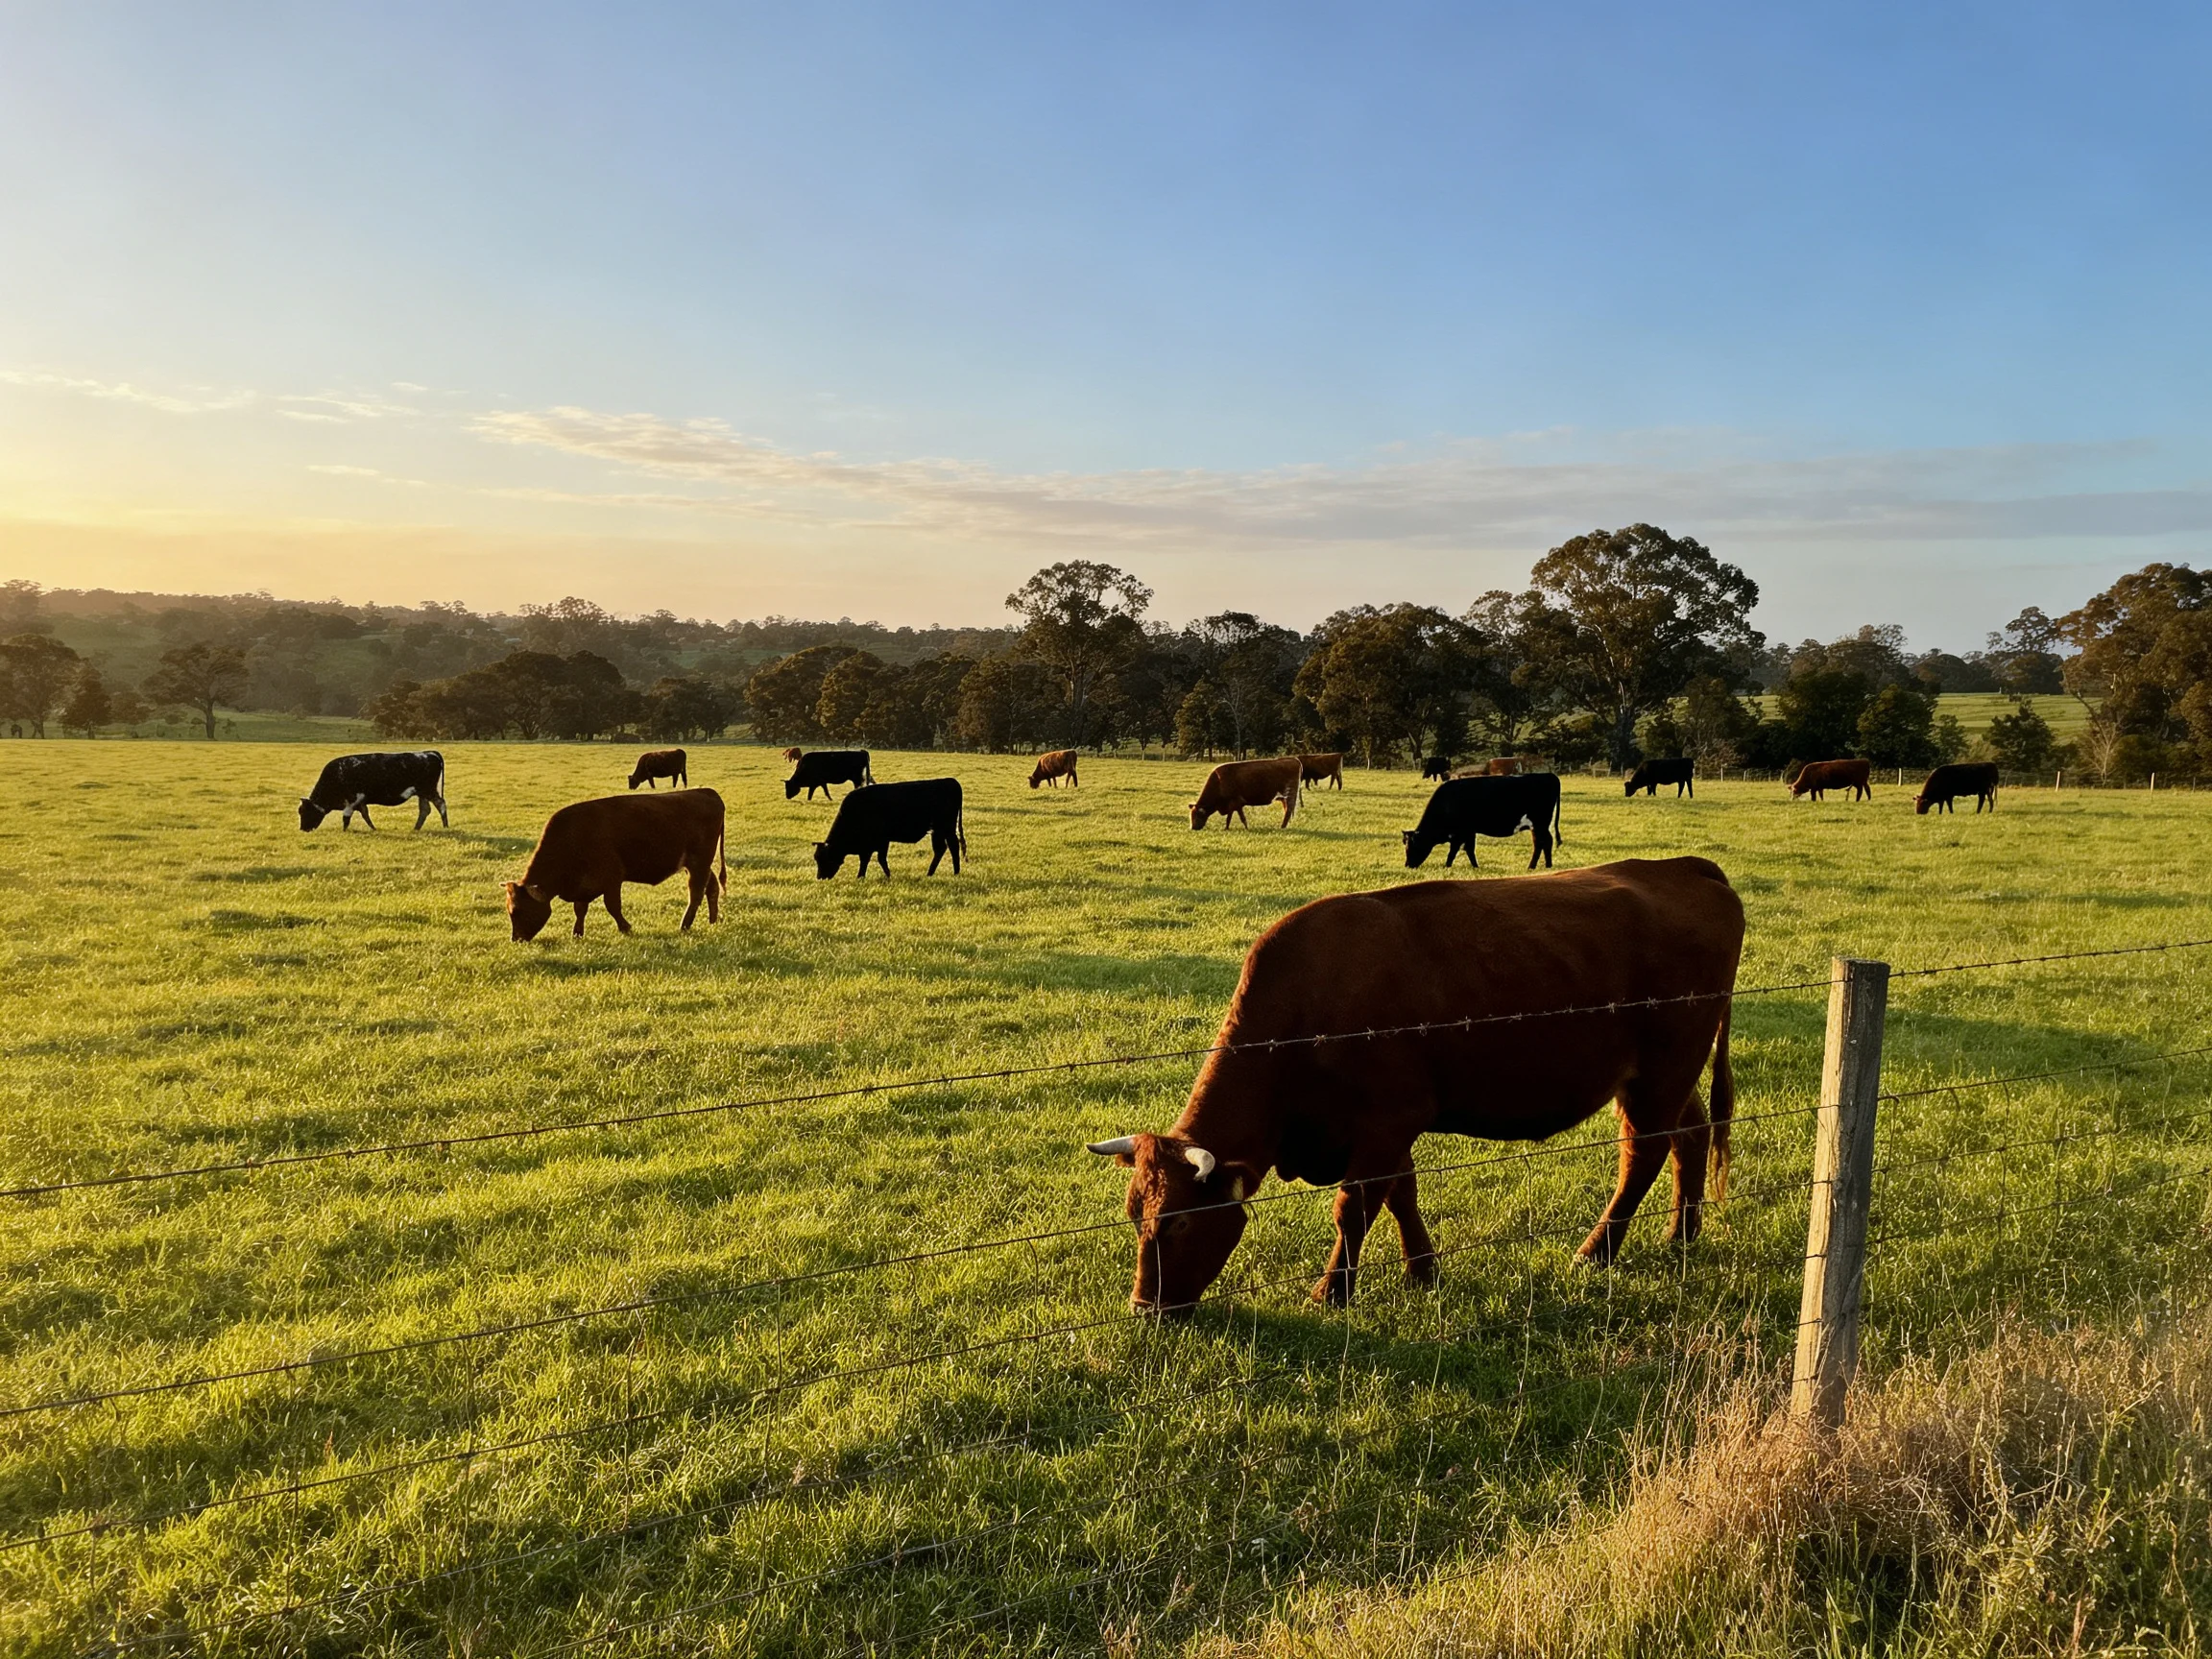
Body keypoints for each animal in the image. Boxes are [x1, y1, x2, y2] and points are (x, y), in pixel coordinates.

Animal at [298, 751, 447, 832]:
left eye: (305, 811)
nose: (303, 829)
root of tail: (428, 753)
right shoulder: (360, 802)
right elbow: (366, 816)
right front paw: (374, 829)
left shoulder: (351, 802)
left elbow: (346, 819)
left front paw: (344, 831)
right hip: (422, 793)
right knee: (425, 810)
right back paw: (416, 828)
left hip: (428, 790)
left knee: (440, 804)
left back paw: (445, 826)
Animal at [503, 789, 725, 940]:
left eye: (517, 910)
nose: (516, 940)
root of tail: (707, 792)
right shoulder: (583, 885)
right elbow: (580, 909)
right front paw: (577, 933)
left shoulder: (612, 879)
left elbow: (612, 906)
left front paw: (625, 927)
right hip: (697, 865)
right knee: (711, 887)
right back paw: (712, 920)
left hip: (699, 863)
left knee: (696, 894)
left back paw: (685, 925)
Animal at [814, 779, 965, 878]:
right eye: (817, 859)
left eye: (825, 859)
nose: (820, 877)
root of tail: (950, 781)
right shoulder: (870, 844)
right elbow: (868, 859)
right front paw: (863, 876)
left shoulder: (880, 841)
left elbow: (877, 858)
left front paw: (884, 876)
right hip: (937, 831)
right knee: (940, 849)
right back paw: (930, 873)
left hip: (947, 828)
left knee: (953, 846)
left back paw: (956, 872)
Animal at [1086, 857, 1743, 1312]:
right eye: (1134, 1216)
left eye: (1178, 1222)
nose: (1145, 1309)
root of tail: (1683, 866)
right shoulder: (1385, 1127)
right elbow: (1403, 1193)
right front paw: (1423, 1269)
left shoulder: (1388, 1117)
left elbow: (1354, 1206)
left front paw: (1331, 1292)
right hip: (1665, 1074)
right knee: (1688, 1137)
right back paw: (1681, 1236)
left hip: (1663, 1068)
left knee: (1643, 1153)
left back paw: (1597, 1252)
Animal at [1401, 774, 1564, 872]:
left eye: (1413, 846)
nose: (1408, 865)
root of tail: (1549, 775)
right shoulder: (1469, 831)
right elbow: (1469, 849)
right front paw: (1475, 867)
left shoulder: (1460, 832)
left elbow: (1454, 851)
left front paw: (1447, 866)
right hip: (1537, 826)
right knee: (1544, 842)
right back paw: (1545, 866)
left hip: (1539, 823)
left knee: (1543, 842)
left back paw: (1535, 866)